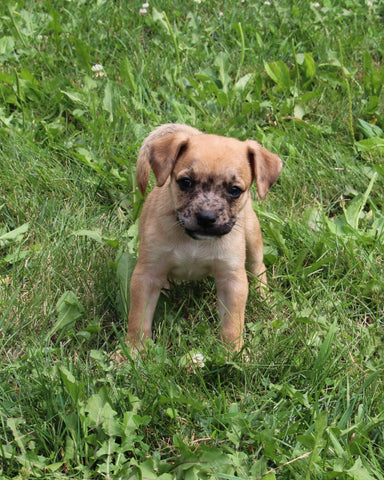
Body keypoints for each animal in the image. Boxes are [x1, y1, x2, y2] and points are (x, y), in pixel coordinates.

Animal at [127, 123, 280, 348]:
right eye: (186, 182)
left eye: (235, 190)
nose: (206, 217)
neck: (194, 242)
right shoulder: (147, 275)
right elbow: (138, 319)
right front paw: (133, 350)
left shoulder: (231, 280)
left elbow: (232, 325)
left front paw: (233, 353)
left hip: (252, 238)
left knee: (258, 267)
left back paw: (264, 299)